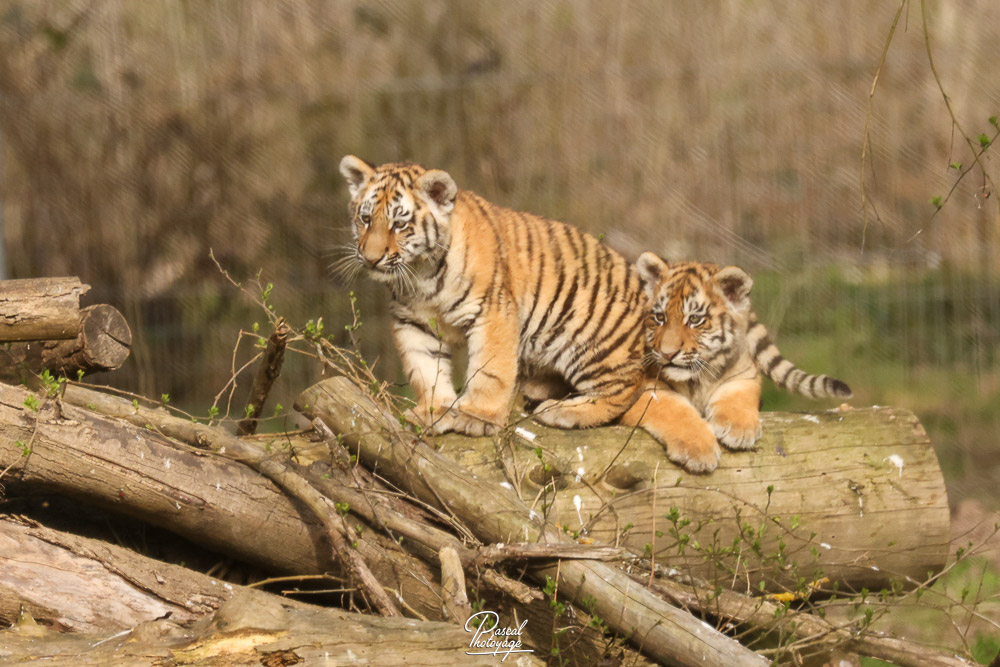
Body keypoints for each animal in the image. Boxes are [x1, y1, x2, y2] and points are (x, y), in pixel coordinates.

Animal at [337, 156, 646, 437]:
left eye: (399, 225)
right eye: (365, 219)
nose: (371, 258)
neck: (421, 274)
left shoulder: (491, 311)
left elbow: (490, 369)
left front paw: (477, 417)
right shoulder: (413, 322)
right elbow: (424, 368)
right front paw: (433, 411)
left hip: (587, 337)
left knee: (626, 389)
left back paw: (560, 411)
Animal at [620, 252, 852, 473]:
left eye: (695, 319)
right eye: (660, 317)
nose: (667, 353)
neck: (697, 380)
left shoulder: (744, 374)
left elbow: (737, 397)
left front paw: (738, 430)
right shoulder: (640, 389)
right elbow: (673, 409)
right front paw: (698, 450)